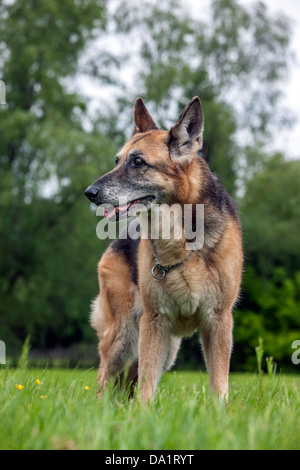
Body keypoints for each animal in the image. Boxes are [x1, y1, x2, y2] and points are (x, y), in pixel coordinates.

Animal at [84, 97, 244, 402]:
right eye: (117, 161)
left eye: (138, 162)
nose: (89, 193)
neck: (181, 242)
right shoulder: (154, 322)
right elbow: (146, 384)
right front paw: (143, 413)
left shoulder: (218, 323)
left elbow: (219, 384)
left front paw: (219, 412)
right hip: (126, 336)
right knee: (103, 381)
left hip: (166, 348)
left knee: (126, 384)